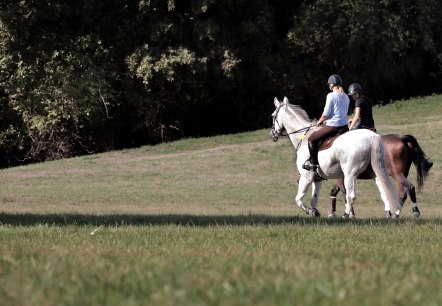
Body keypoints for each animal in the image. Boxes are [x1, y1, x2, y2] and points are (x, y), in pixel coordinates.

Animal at [270, 97, 400, 218]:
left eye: (273, 115)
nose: (272, 135)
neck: (303, 137)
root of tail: (371, 136)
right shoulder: (317, 179)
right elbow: (314, 200)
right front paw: (315, 212)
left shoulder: (306, 177)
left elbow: (298, 199)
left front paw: (310, 211)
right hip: (375, 172)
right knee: (384, 190)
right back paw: (390, 214)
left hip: (350, 174)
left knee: (350, 195)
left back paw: (346, 215)